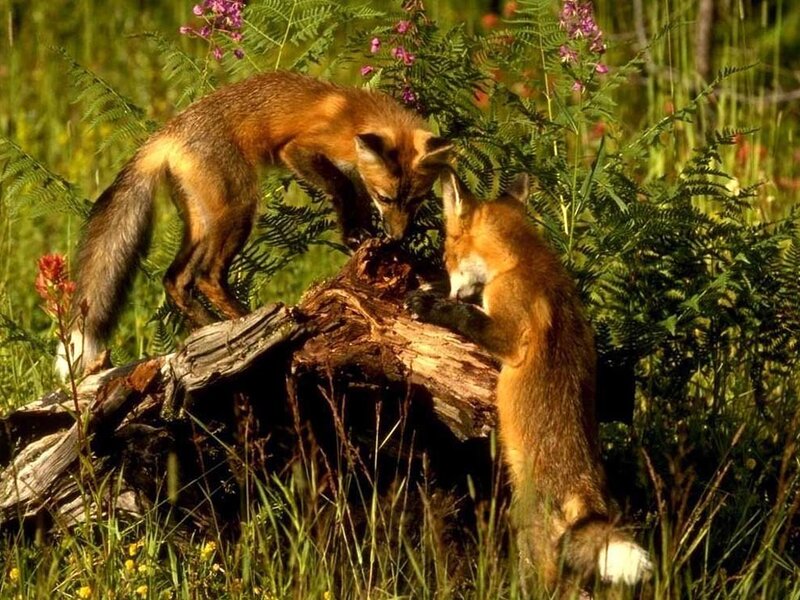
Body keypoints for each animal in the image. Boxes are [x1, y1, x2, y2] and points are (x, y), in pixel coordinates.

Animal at [55, 70, 452, 379]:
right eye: (387, 198)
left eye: (415, 201)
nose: (397, 236)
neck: (357, 117)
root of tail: (166, 134)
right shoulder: (300, 150)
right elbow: (340, 188)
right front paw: (356, 235)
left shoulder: (356, 180)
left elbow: (352, 204)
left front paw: (361, 236)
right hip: (239, 210)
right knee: (207, 276)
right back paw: (248, 323)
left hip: (203, 222)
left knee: (175, 279)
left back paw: (211, 327)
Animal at [407, 171, 652, 594]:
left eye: (446, 256)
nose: (448, 284)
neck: (524, 260)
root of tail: (585, 494)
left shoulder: (510, 332)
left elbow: (469, 316)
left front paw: (435, 305)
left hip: (528, 541)